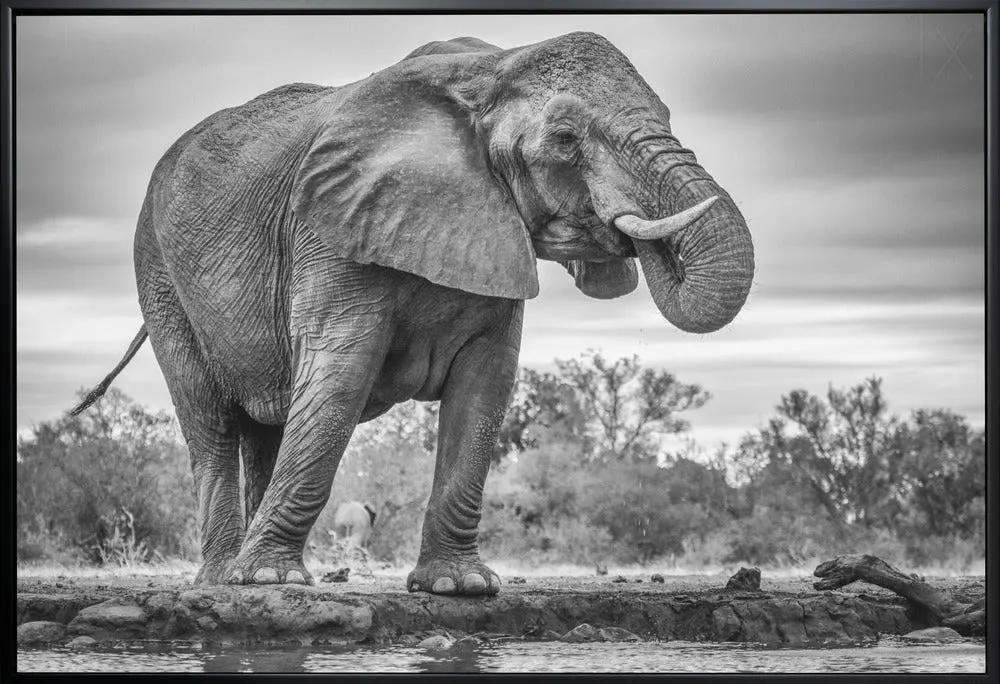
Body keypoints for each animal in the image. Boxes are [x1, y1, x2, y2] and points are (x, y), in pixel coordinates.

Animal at [71, 32, 754, 595]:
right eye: (564, 137)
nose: (635, 235)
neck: (488, 70)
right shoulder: (329, 228)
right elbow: (340, 376)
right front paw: (267, 582)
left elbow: (486, 387)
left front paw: (459, 587)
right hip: (159, 271)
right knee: (210, 421)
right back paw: (224, 580)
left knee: (266, 425)